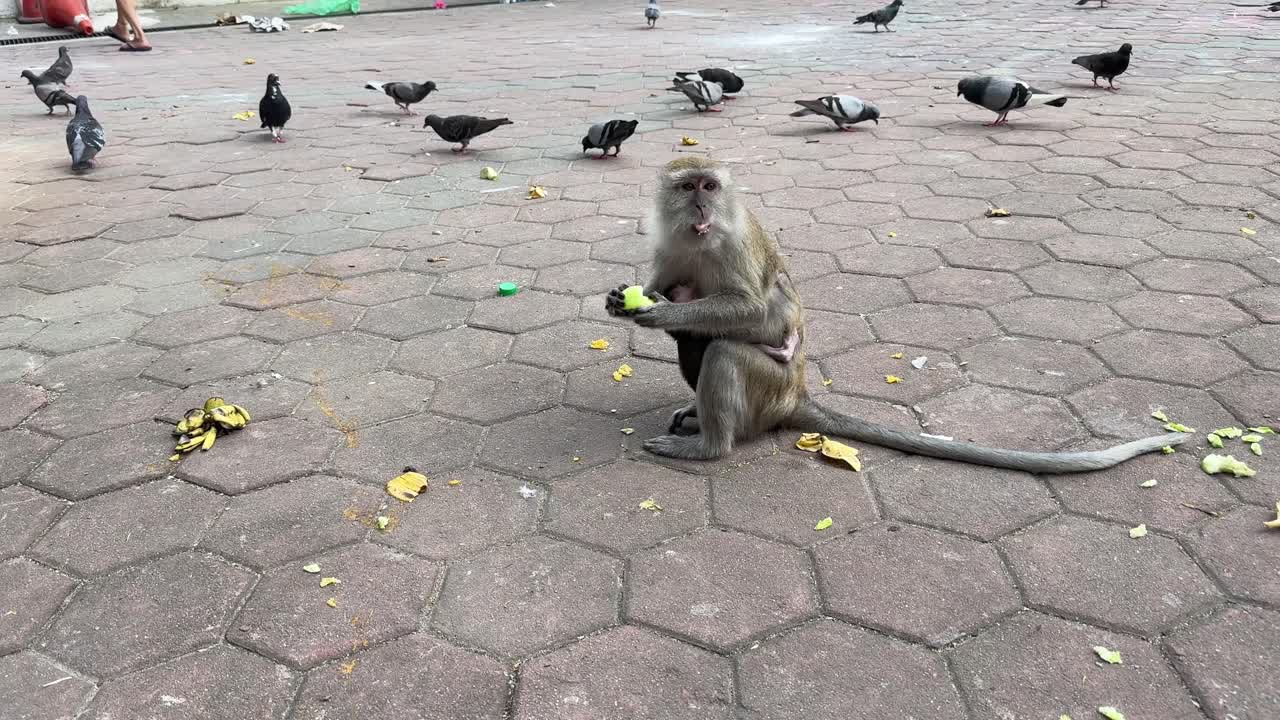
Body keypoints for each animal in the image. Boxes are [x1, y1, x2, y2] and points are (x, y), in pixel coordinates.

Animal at [606, 156, 1189, 473]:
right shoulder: (669, 247)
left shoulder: (733, 244)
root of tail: (797, 398)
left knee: (723, 349)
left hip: (769, 390)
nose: (702, 207)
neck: (698, 240)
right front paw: (627, 302)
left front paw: (659, 315)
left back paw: (710, 447)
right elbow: (664, 287)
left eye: (710, 186)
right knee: (699, 342)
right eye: (687, 187)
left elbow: (757, 309)